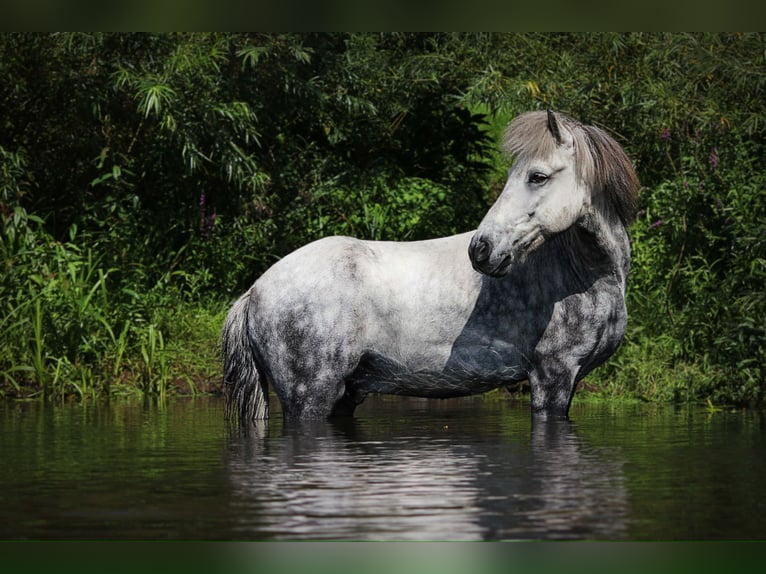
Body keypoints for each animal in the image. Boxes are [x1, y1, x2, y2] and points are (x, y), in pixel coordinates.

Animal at [222, 110, 639, 424]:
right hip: (309, 398)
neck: (585, 276)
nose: (481, 250)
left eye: (538, 176)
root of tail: (255, 291)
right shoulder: (552, 377)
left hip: (343, 396)